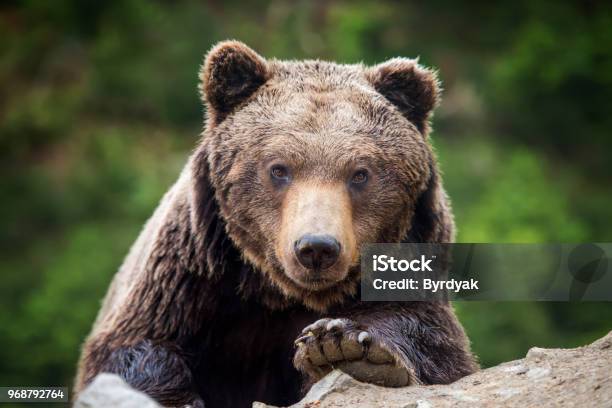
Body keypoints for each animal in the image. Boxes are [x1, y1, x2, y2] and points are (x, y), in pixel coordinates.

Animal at [75, 39, 478, 406]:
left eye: (360, 174)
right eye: (279, 169)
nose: (316, 248)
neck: (277, 293)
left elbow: (437, 344)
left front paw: (346, 347)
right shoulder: (190, 279)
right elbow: (128, 349)